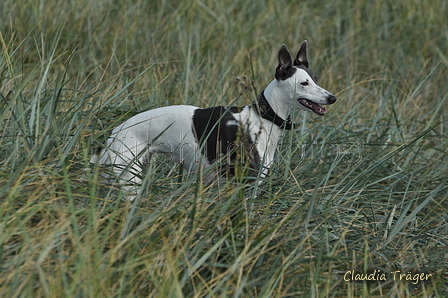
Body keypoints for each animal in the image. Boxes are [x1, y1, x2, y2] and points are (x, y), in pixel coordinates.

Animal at [90, 41, 336, 200]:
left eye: (316, 79)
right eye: (304, 83)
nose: (332, 98)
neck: (261, 118)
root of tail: (112, 135)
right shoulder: (248, 184)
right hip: (128, 178)